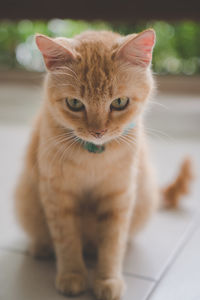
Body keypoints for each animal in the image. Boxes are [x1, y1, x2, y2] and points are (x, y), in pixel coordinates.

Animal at [14, 28, 192, 300]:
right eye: (75, 103)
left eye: (119, 102)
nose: (98, 132)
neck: (94, 157)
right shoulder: (58, 196)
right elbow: (66, 239)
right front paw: (72, 275)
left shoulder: (119, 197)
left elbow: (112, 245)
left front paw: (108, 280)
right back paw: (41, 248)